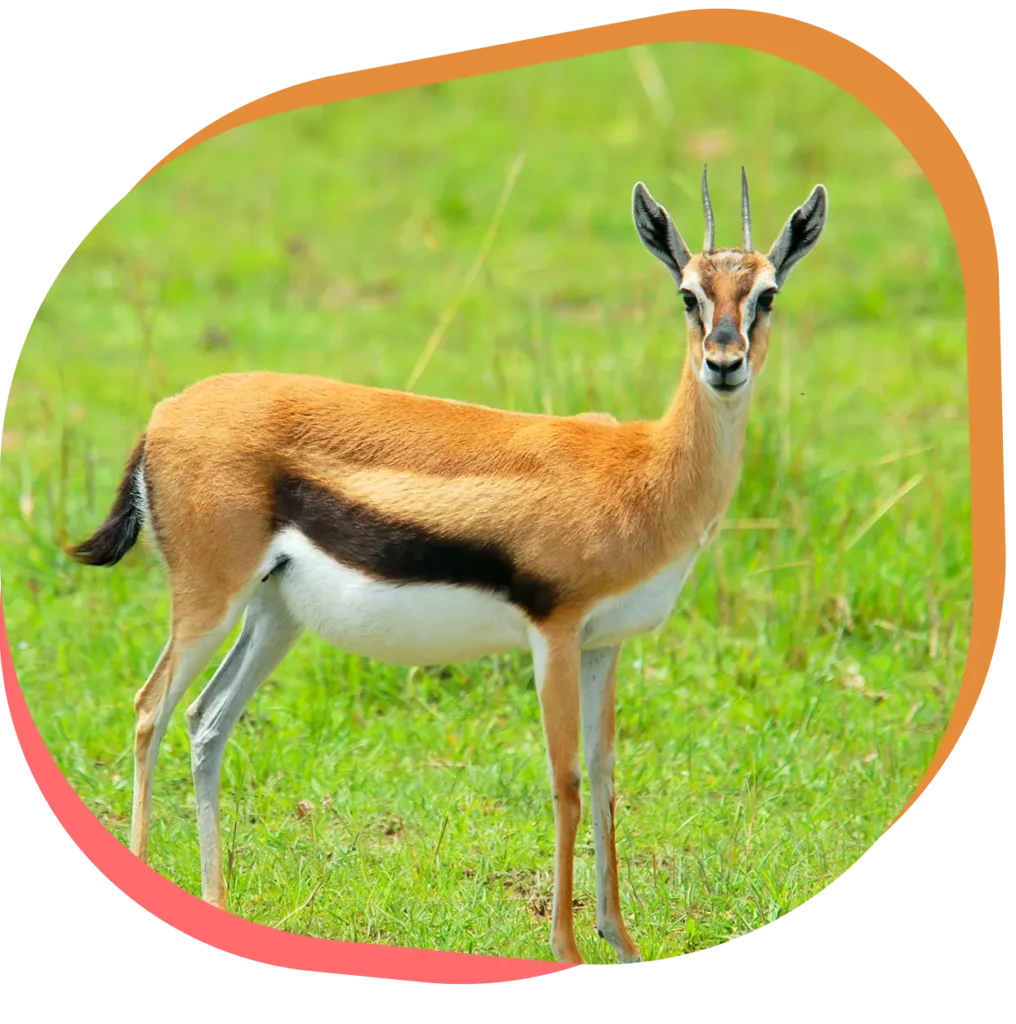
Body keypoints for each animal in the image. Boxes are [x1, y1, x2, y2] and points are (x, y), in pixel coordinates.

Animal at [67, 167, 827, 967]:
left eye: (766, 293)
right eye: (687, 293)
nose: (723, 364)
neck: (643, 472)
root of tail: (164, 414)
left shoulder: (605, 644)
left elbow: (605, 774)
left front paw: (621, 940)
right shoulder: (554, 634)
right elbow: (564, 781)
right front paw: (565, 948)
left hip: (273, 615)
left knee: (207, 719)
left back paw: (216, 903)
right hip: (210, 601)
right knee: (150, 709)